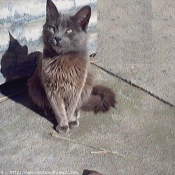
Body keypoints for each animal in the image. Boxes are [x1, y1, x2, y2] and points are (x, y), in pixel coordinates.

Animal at [27, 0, 116, 134]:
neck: (64, 59)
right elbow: (59, 110)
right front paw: (63, 125)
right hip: (34, 85)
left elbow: (71, 107)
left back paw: (76, 114)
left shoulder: (76, 87)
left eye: (69, 31)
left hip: (88, 81)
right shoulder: (52, 88)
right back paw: (48, 110)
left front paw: (71, 121)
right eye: (52, 28)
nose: (57, 37)